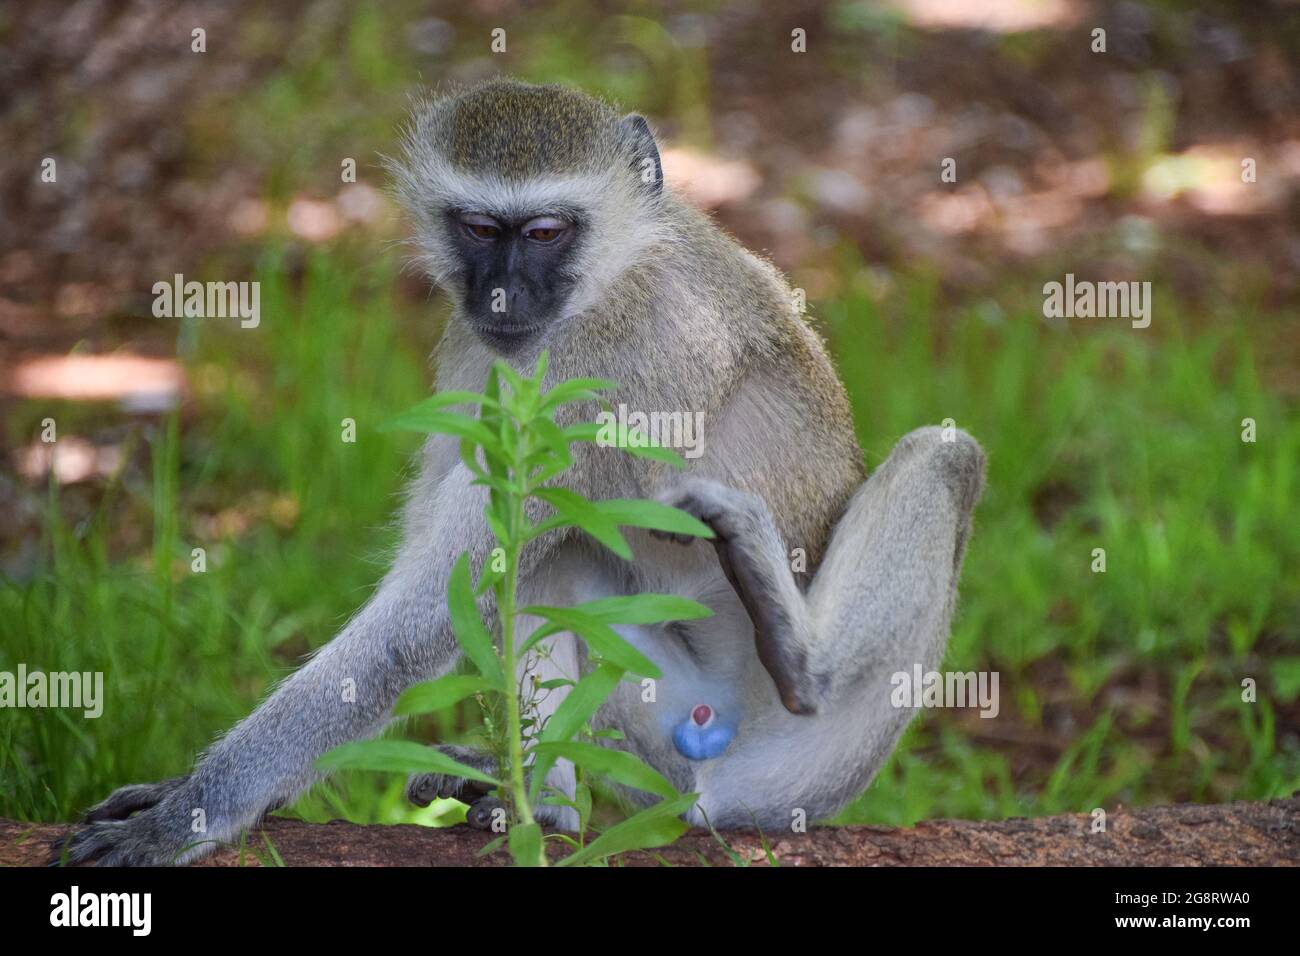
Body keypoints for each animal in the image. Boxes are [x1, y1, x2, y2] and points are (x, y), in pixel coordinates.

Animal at [55, 78, 984, 864]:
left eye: (543, 232)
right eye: (477, 228)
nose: (501, 296)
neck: (613, 274)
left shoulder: (609, 370)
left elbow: (413, 625)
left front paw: (192, 811)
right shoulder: (476, 352)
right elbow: (459, 578)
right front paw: (183, 791)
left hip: (807, 762)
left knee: (948, 458)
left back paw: (803, 659)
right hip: (664, 725)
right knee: (550, 561)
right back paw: (550, 808)